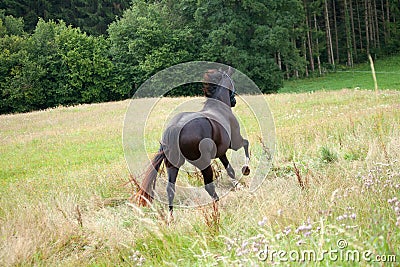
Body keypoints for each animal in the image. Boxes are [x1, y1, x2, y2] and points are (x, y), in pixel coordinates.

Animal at [138, 67, 250, 216]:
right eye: (232, 81)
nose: (234, 101)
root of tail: (176, 127)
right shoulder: (234, 143)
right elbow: (246, 144)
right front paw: (246, 169)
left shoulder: (221, 152)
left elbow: (230, 170)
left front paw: (237, 185)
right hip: (204, 163)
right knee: (209, 187)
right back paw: (217, 208)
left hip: (173, 165)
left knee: (170, 190)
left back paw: (171, 217)